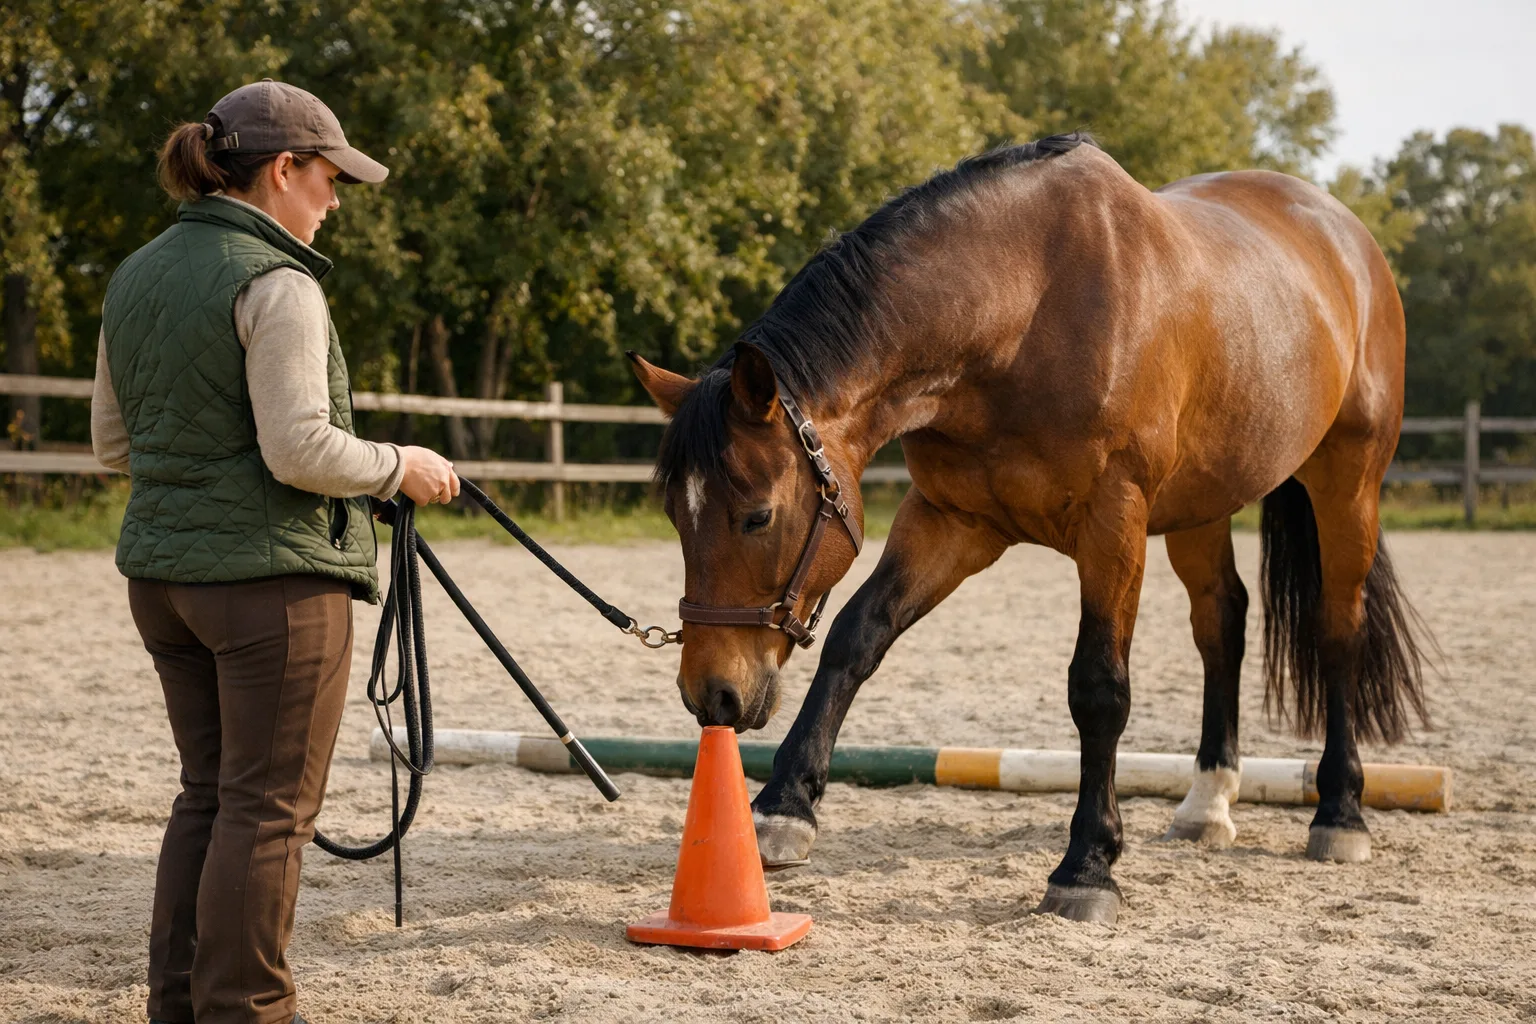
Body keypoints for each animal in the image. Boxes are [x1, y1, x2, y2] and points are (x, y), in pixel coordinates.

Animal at [625, 133, 1429, 924]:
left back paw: (1340, 812)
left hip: (1347, 483)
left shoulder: (1113, 523)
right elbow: (858, 637)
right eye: (675, 515)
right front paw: (781, 810)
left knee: (1338, 630)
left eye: (757, 515)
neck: (1024, 310)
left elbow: (1099, 689)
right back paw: (1209, 803)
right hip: (1202, 503)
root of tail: (1346, 236)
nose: (711, 695)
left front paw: (1088, 866)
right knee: (1221, 623)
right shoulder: (953, 520)